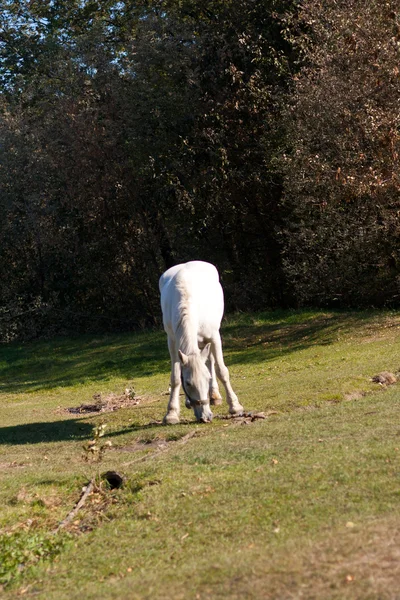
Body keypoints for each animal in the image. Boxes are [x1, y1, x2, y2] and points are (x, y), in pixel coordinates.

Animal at [160, 260, 244, 424]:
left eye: (207, 379)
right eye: (188, 383)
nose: (205, 416)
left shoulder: (214, 337)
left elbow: (221, 371)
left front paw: (235, 406)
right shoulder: (172, 342)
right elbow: (175, 377)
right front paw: (171, 414)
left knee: (211, 361)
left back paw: (215, 396)